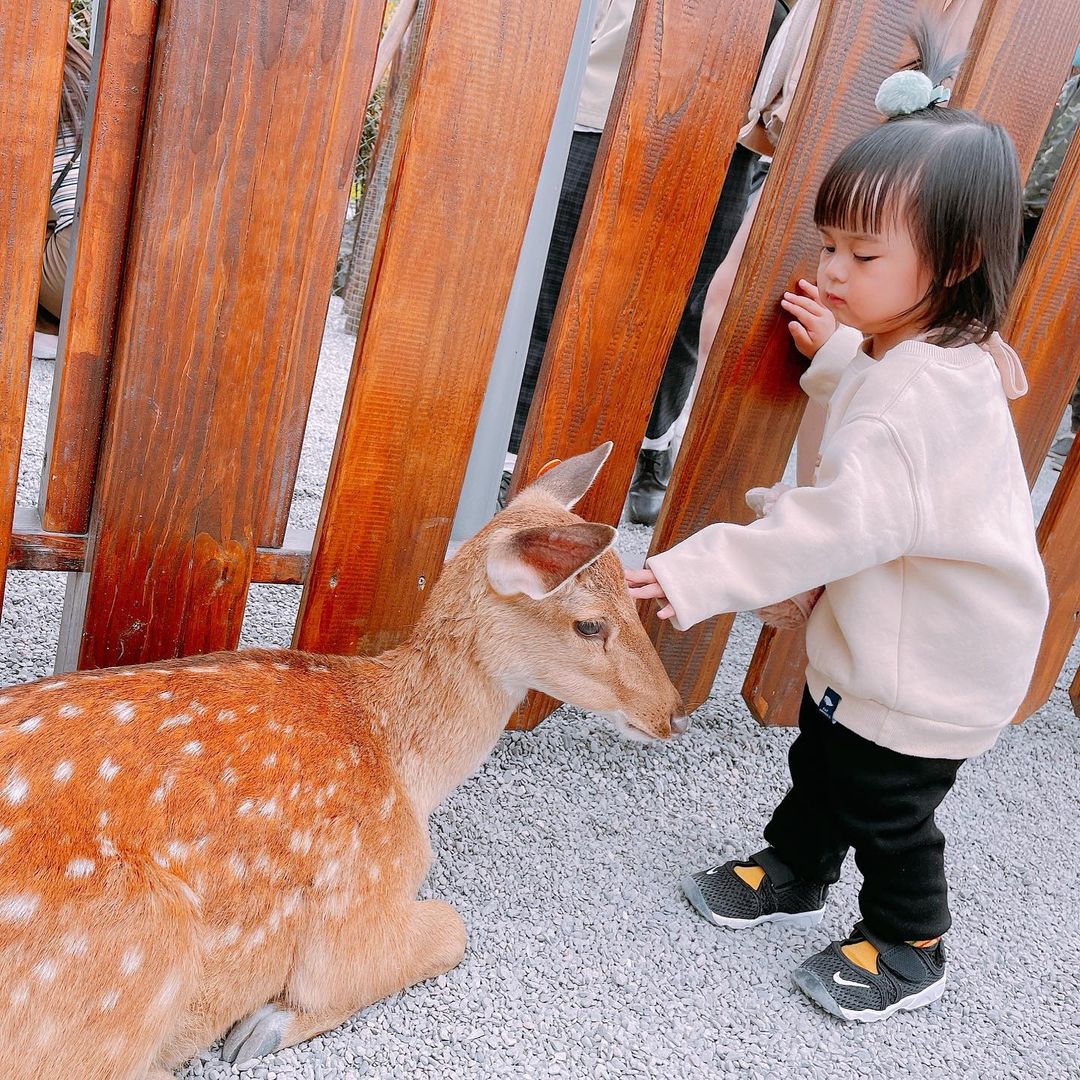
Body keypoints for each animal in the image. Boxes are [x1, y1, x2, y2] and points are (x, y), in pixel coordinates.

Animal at [0, 444, 686, 1080]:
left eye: (633, 597)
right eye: (590, 625)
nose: (674, 713)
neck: (406, 769)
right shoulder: (360, 897)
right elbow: (451, 930)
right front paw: (263, 1027)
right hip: (136, 958)